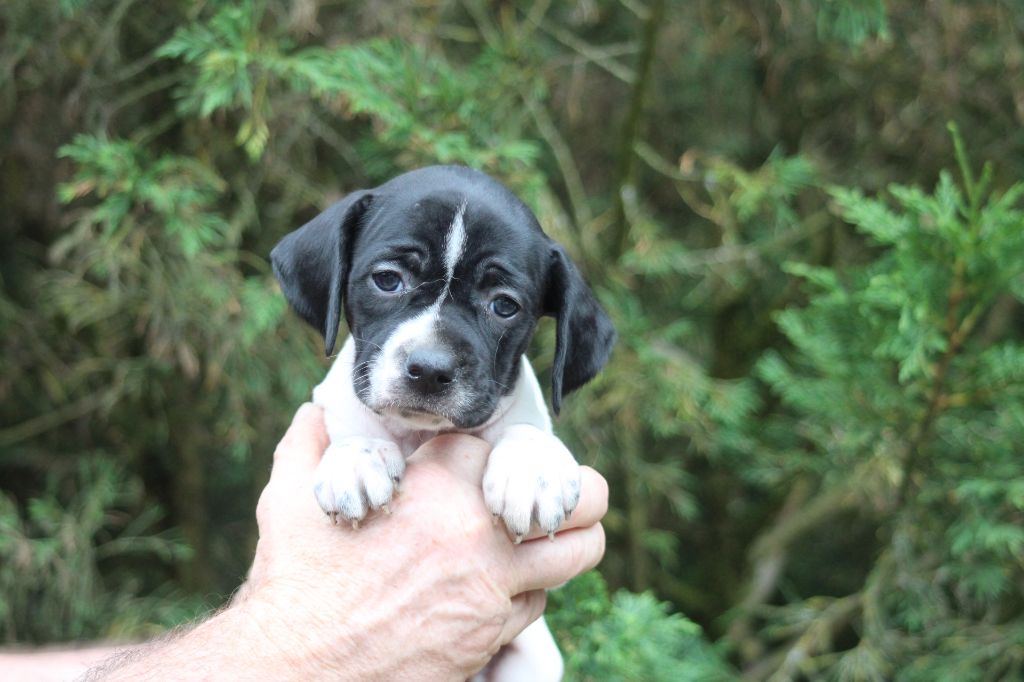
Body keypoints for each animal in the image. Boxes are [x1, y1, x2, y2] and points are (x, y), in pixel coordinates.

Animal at [270, 165, 615, 681]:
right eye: (387, 280)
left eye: (504, 306)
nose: (430, 370)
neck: (421, 432)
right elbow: (354, 428)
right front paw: (356, 460)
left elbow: (527, 429)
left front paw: (532, 471)